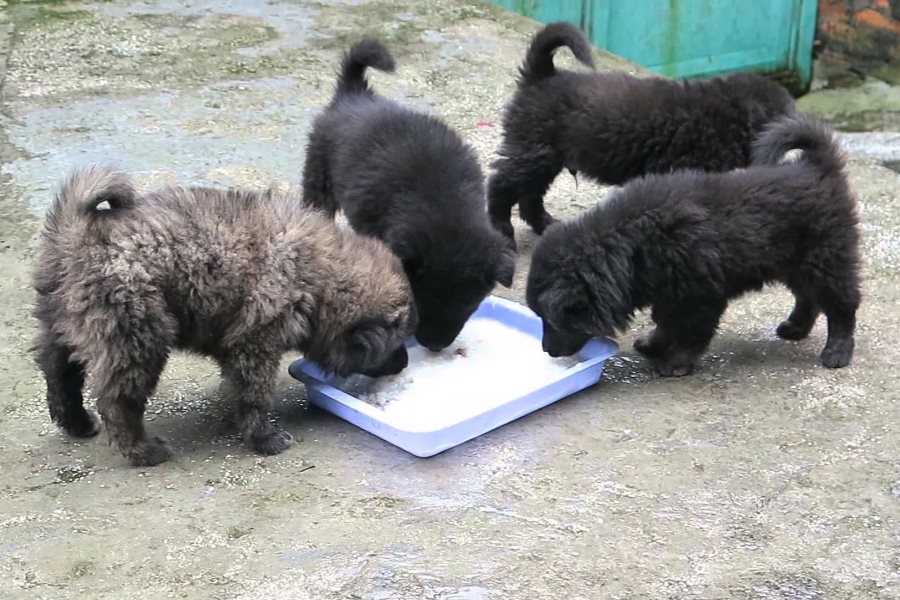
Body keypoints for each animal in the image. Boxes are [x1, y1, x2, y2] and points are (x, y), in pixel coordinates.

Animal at [30, 166, 418, 466]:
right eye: (396, 341)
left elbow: (236, 384)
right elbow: (254, 394)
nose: (403, 363)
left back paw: (78, 423)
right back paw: (143, 451)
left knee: (59, 373)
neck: (321, 275)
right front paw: (264, 438)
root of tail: (79, 235)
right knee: (118, 401)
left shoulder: (237, 343)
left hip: (61, 325)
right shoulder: (257, 342)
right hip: (135, 336)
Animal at [300, 38, 512, 352]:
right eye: (421, 300)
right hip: (319, 179)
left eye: (467, 304)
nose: (433, 345)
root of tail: (354, 94)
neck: (443, 204)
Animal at [492, 20, 796, 246]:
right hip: (534, 151)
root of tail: (543, 75)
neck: (727, 116)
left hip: (545, 156)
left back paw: (545, 224)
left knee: (529, 195)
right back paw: (501, 230)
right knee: (502, 184)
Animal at [528, 115, 856, 378]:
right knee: (808, 296)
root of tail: (817, 166)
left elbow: (690, 333)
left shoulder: (699, 295)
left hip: (827, 257)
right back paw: (795, 328)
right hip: (795, 262)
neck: (632, 244)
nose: (546, 351)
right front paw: (654, 343)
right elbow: (665, 321)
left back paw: (837, 351)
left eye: (552, 320)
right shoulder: (666, 291)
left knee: (841, 305)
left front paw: (675, 362)